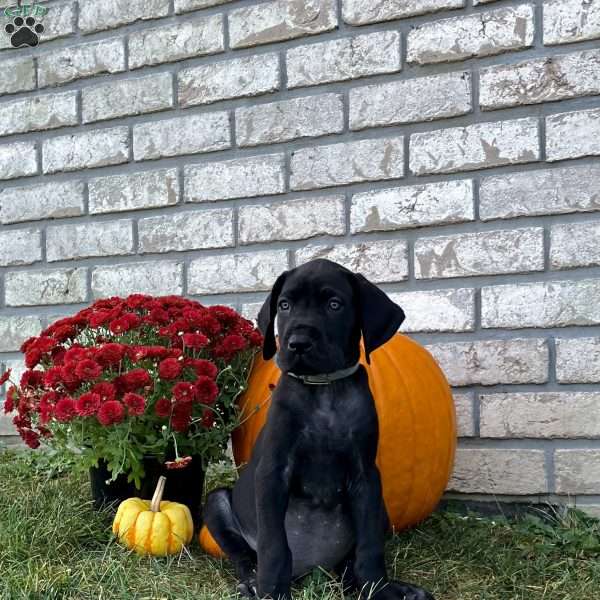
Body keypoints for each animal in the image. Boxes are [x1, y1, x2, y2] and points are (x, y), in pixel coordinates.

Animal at [204, 258, 434, 600]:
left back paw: (396, 588)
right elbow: (274, 546)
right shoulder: (273, 472)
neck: (324, 389)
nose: (298, 344)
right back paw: (251, 582)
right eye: (284, 305)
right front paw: (271, 591)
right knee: (243, 554)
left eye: (334, 305)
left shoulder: (366, 477)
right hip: (216, 503)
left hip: (381, 507)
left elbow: (369, 549)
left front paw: (379, 590)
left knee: (349, 566)